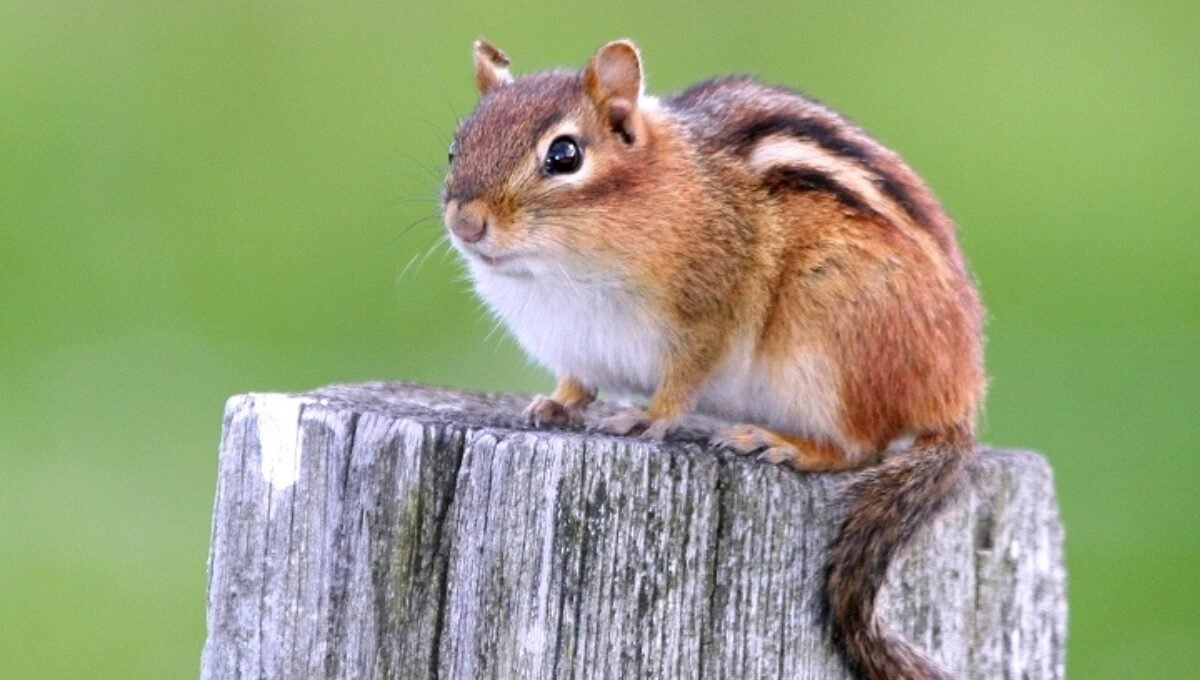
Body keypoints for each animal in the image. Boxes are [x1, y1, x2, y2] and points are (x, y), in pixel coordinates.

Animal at [442, 38, 985, 680]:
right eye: (455, 147)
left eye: (564, 155)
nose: (465, 222)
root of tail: (956, 402)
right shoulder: (576, 345)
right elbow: (577, 380)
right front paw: (555, 404)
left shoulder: (707, 319)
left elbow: (683, 381)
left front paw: (648, 417)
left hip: (830, 340)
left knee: (861, 447)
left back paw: (780, 443)